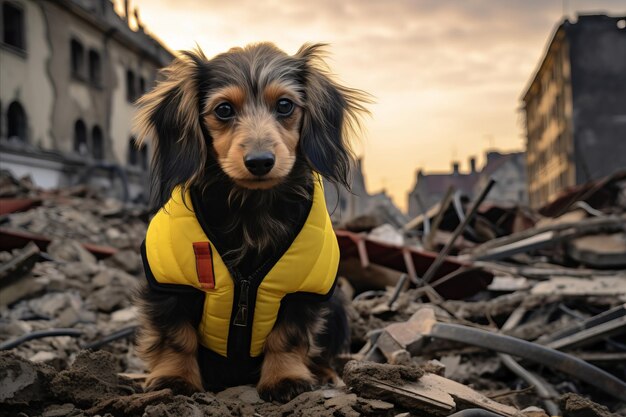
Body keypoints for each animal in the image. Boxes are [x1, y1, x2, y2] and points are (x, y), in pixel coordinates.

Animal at [132, 41, 366, 400]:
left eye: (284, 105)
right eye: (224, 110)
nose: (259, 162)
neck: (251, 207)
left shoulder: (303, 290)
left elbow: (288, 336)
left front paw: (284, 378)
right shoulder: (169, 286)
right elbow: (176, 337)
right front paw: (174, 378)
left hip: (337, 303)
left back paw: (325, 373)